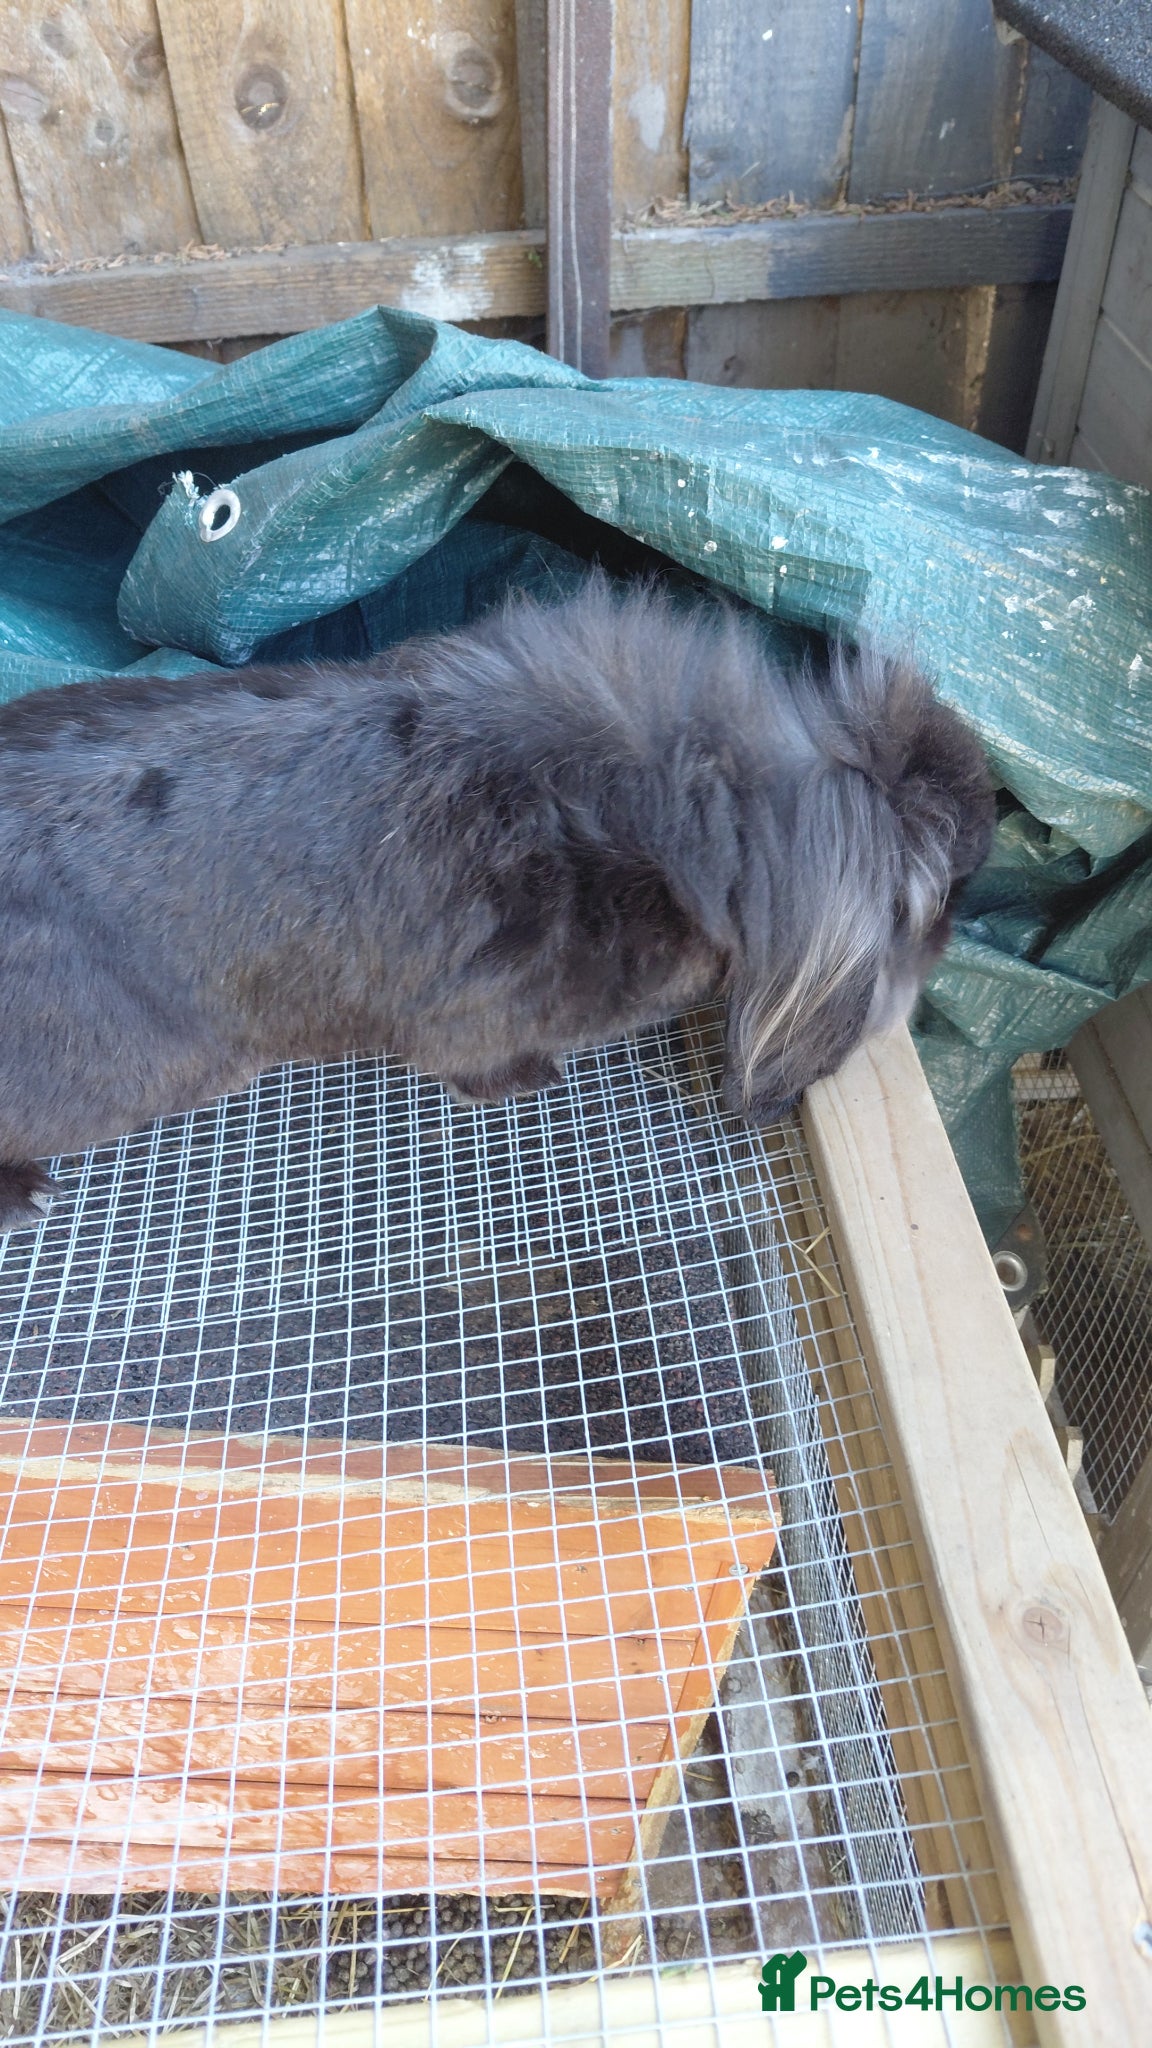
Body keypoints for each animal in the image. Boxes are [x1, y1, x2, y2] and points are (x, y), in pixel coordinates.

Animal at [0, 572, 994, 1231]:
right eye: (932, 898)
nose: (951, 940)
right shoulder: (469, 1018)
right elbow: (474, 1063)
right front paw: (531, 1082)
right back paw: (28, 1197)